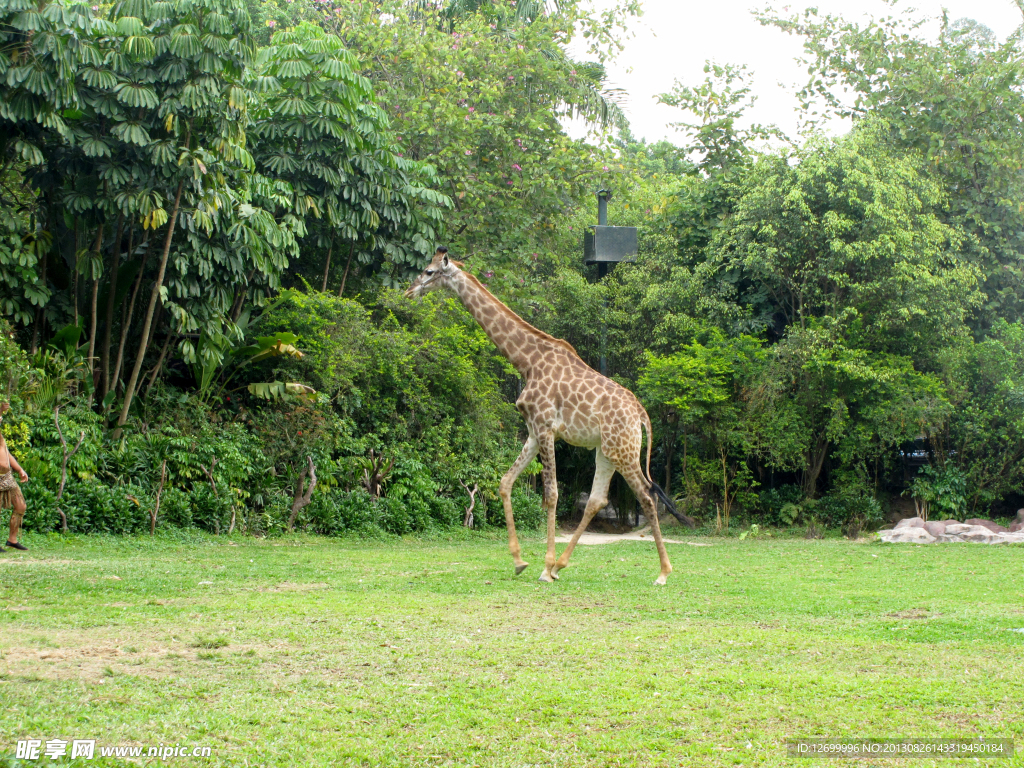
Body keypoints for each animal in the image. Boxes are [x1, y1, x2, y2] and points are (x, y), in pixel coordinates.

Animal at [401, 249, 696, 585]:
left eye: (428, 271)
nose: (408, 292)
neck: (526, 361)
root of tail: (641, 416)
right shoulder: (532, 430)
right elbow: (505, 482)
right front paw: (519, 561)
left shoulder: (545, 427)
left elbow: (551, 494)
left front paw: (543, 566)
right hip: (606, 451)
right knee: (597, 499)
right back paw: (562, 565)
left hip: (624, 451)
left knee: (646, 497)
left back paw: (662, 572)